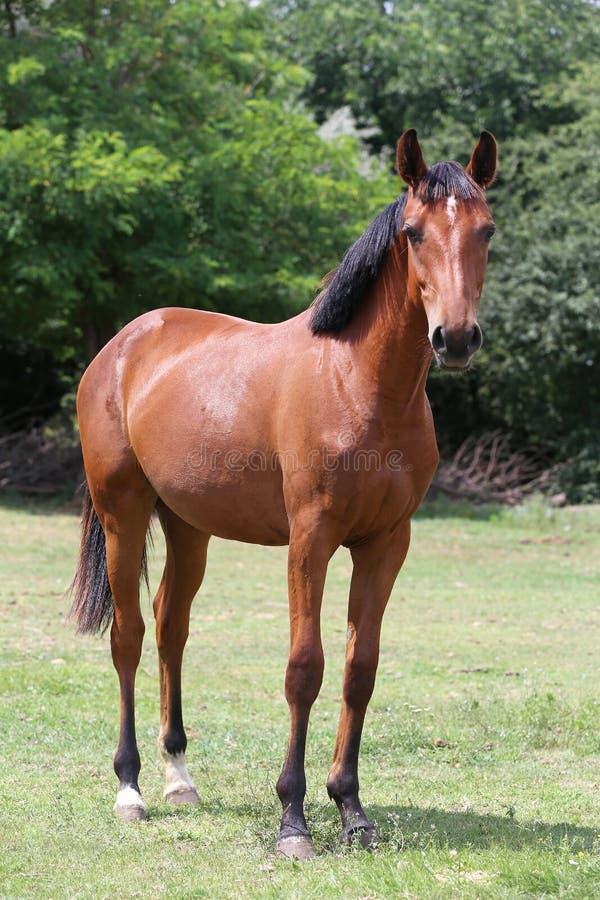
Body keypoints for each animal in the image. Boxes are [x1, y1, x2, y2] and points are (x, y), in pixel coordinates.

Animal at [70, 130, 496, 860]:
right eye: (413, 232)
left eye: (487, 230)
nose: (457, 338)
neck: (358, 383)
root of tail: (122, 345)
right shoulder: (311, 540)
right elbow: (305, 669)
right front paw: (293, 819)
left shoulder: (385, 544)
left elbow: (359, 671)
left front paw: (352, 810)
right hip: (122, 514)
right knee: (128, 637)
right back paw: (130, 788)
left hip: (188, 527)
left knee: (171, 627)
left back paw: (179, 777)